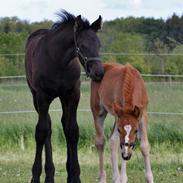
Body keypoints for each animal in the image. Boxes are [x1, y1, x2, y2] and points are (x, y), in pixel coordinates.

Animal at [24, 10, 103, 183]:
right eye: (82, 45)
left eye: (99, 45)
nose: (99, 73)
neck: (58, 61)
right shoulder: (42, 97)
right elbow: (41, 131)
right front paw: (35, 175)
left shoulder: (73, 95)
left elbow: (72, 131)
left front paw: (75, 175)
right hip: (34, 97)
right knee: (48, 127)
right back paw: (49, 174)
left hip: (62, 99)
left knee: (63, 124)